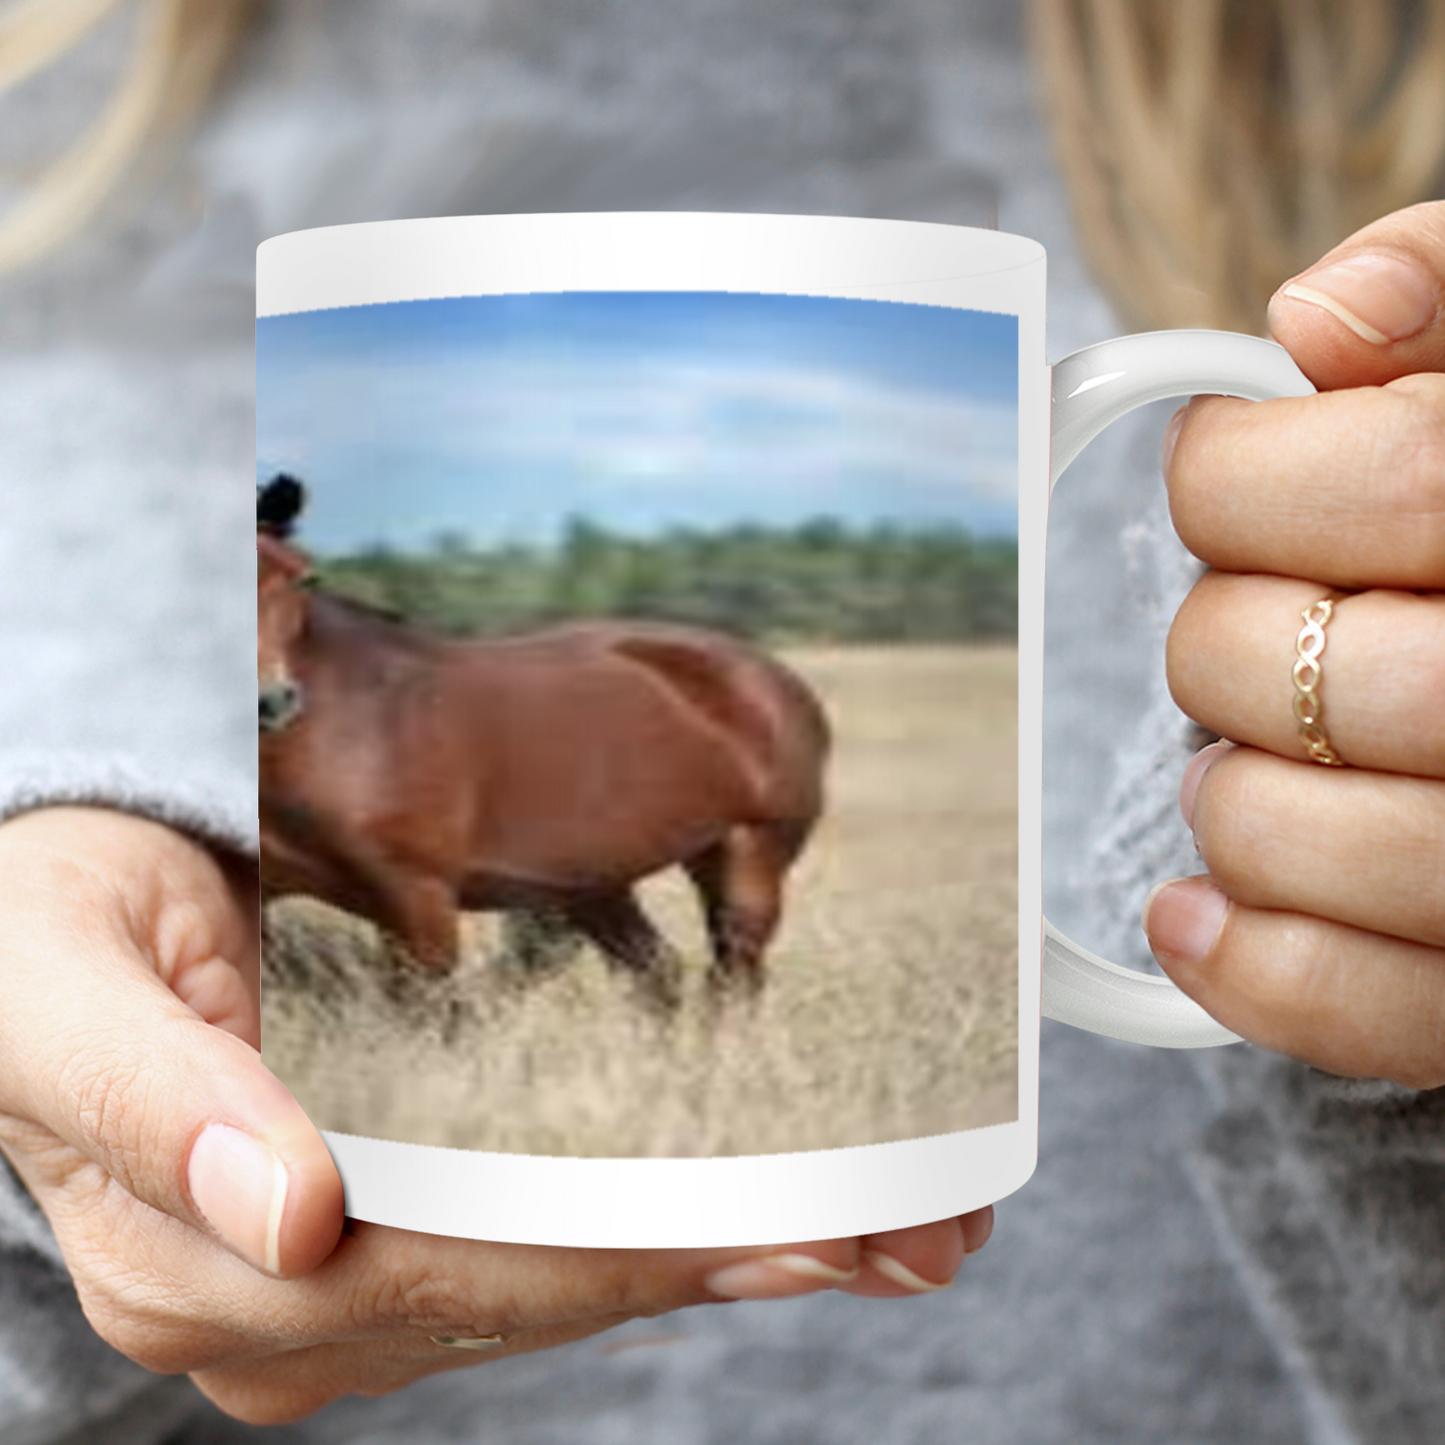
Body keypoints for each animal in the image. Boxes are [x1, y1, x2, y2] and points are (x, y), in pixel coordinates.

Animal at [255, 514, 832, 1011]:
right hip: (597, 888)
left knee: (732, 981)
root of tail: (772, 677)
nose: (271, 701)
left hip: (749, 857)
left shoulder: (416, 898)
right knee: (658, 975)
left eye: (304, 577)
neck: (355, 717)